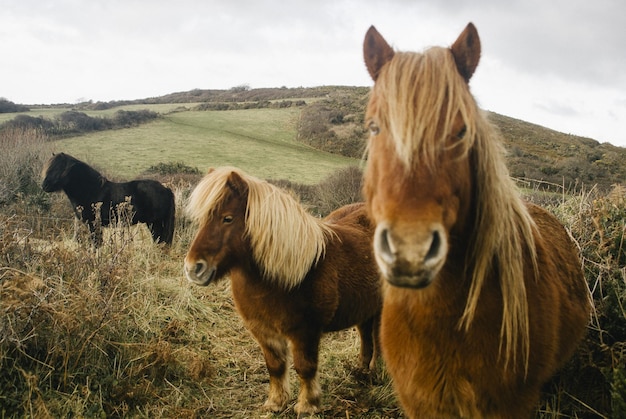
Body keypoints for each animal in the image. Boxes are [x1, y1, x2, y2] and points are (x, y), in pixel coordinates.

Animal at [41, 153, 174, 246]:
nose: (44, 186)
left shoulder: (93, 224)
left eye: (57, 169)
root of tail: (165, 188)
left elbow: (96, 244)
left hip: (155, 223)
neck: (91, 190)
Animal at [183, 167, 380, 416]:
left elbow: (305, 367)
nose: (193, 268)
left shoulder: (305, 331)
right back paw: (361, 371)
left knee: (378, 338)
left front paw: (307, 405)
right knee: (365, 334)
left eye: (227, 218)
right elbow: (275, 366)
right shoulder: (263, 330)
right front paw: (276, 402)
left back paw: (375, 373)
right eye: (202, 219)